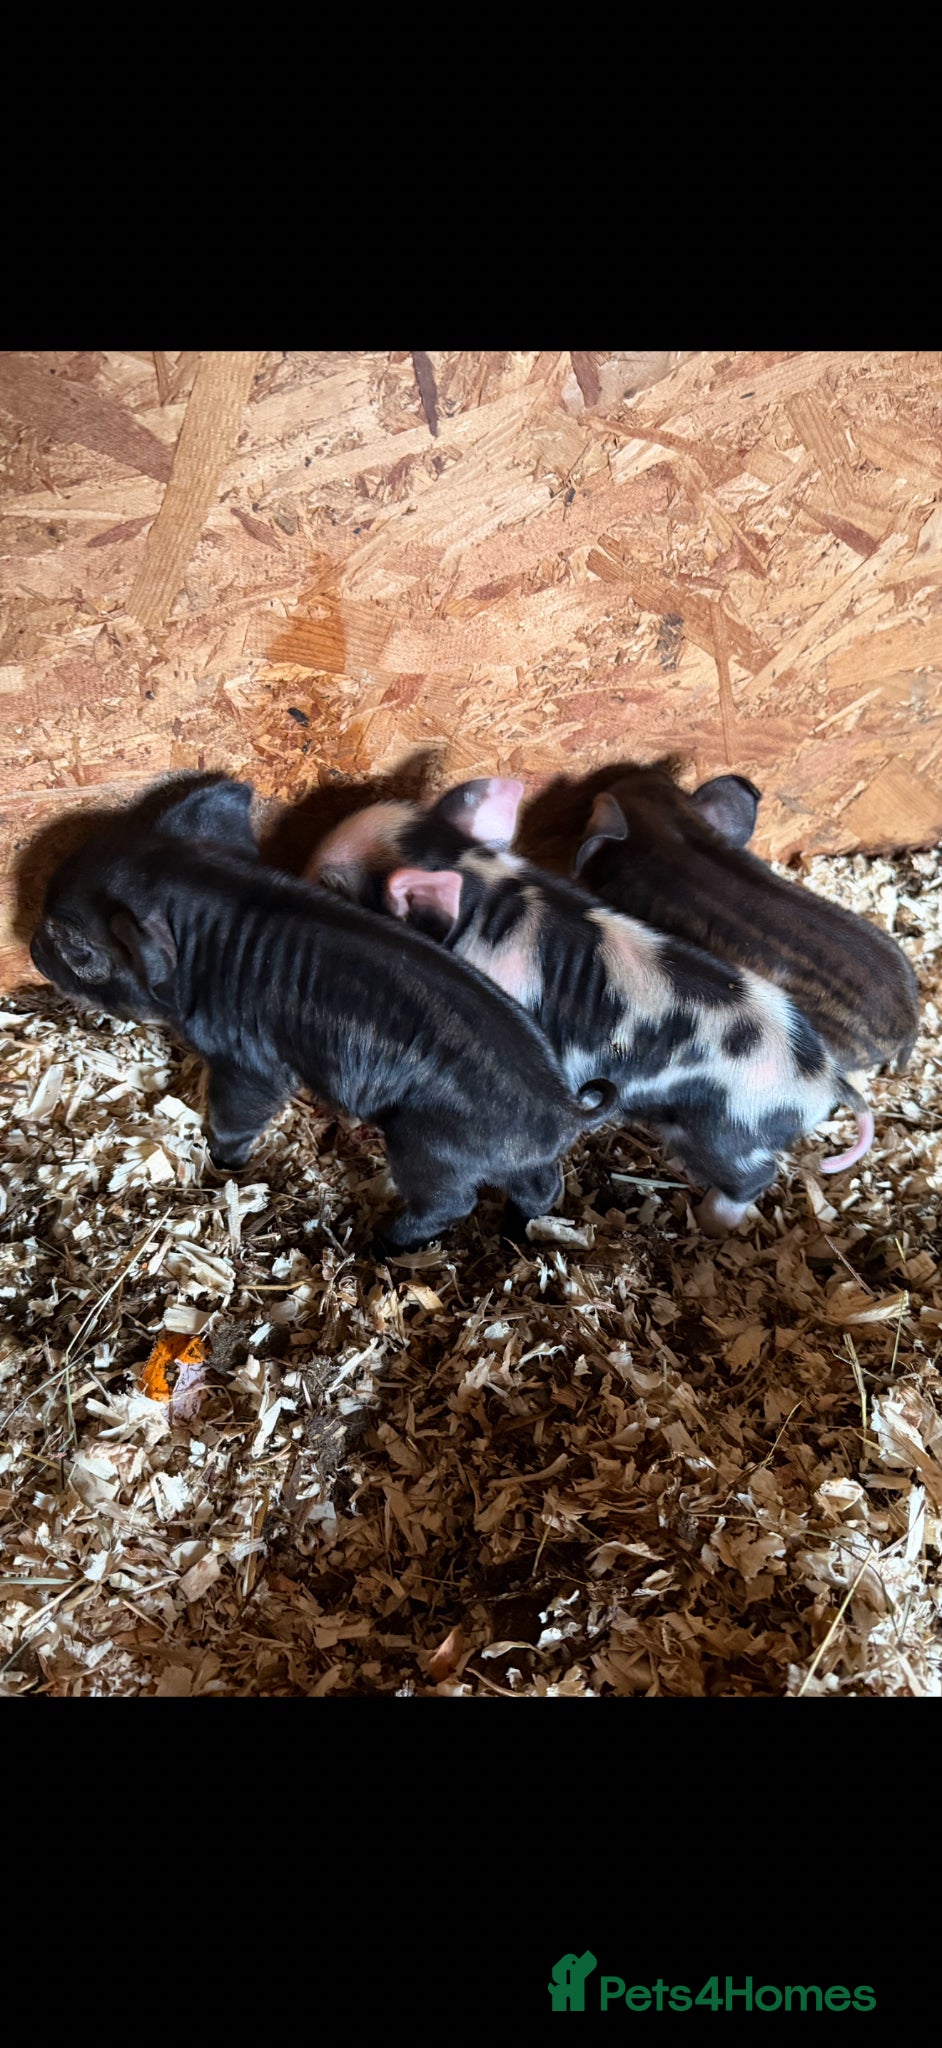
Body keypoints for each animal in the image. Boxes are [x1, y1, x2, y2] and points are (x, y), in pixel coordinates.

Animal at [29, 775, 617, 1253]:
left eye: (76, 947)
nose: (33, 947)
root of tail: (564, 1109)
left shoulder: (248, 1058)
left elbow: (240, 1112)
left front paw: (223, 1163)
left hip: (430, 1147)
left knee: (449, 1203)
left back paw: (382, 1245)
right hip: (516, 1159)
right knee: (542, 1187)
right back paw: (520, 1232)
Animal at [305, 781, 875, 1236]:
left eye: (332, 884)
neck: (478, 878)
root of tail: (825, 1077)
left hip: (727, 1130)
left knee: (754, 1178)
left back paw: (712, 1225)